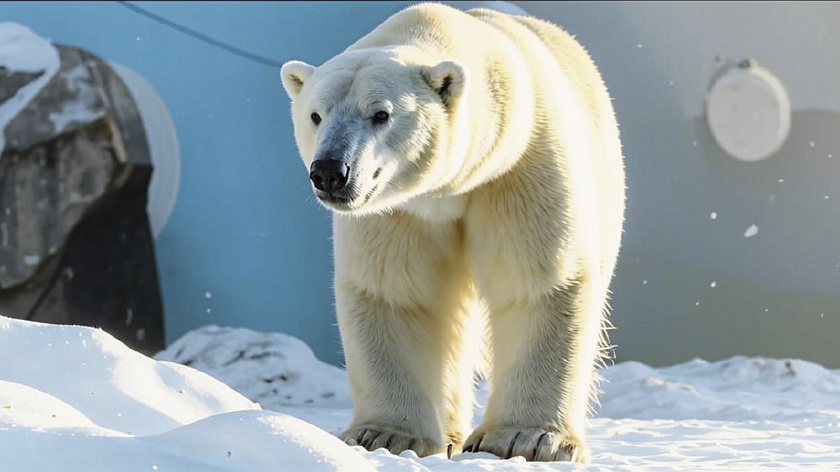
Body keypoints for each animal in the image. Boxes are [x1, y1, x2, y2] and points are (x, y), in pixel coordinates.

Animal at [280, 1, 624, 462]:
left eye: (380, 114)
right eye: (316, 115)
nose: (331, 171)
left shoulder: (521, 169)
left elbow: (536, 283)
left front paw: (527, 440)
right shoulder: (398, 211)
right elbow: (398, 293)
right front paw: (384, 436)